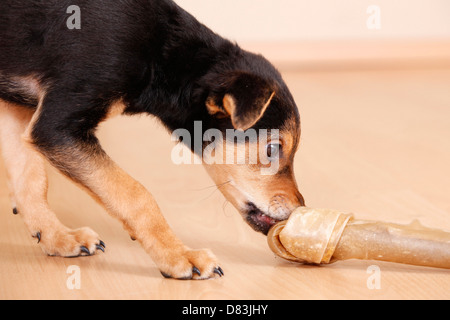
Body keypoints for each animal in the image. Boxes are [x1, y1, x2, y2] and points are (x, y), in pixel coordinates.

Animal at [0, 0, 304, 280]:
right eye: (273, 148)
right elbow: (135, 194)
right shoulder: (55, 127)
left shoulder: (18, 109)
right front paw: (179, 256)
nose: (299, 209)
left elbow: (30, 179)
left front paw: (55, 237)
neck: (164, 54)